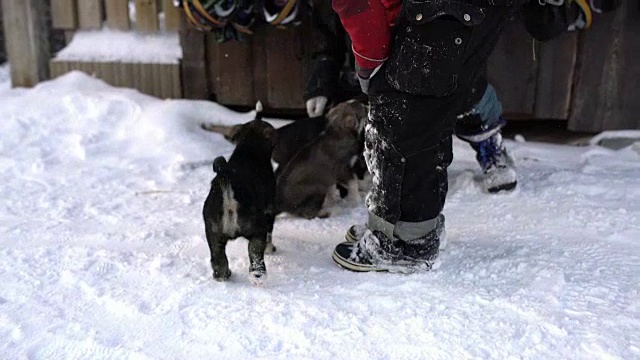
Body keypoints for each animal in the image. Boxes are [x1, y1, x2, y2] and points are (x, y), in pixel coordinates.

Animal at [202, 105, 278, 286]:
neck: (248, 150)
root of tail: (226, 177)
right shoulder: (270, 209)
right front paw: (271, 249)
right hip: (256, 228)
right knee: (255, 252)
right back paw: (258, 276)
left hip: (213, 233)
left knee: (219, 258)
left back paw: (223, 275)